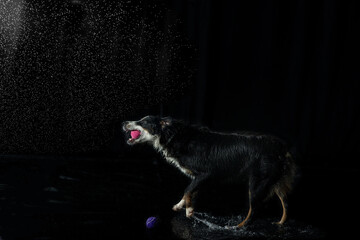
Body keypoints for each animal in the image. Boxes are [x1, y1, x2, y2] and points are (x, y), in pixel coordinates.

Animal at [122, 115, 296, 228]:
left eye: (143, 122)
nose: (124, 122)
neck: (175, 135)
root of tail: (283, 148)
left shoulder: (206, 174)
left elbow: (187, 190)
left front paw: (187, 210)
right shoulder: (200, 178)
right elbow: (191, 192)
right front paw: (184, 207)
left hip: (257, 183)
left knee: (254, 210)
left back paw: (238, 227)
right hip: (276, 182)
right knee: (286, 203)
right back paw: (281, 222)